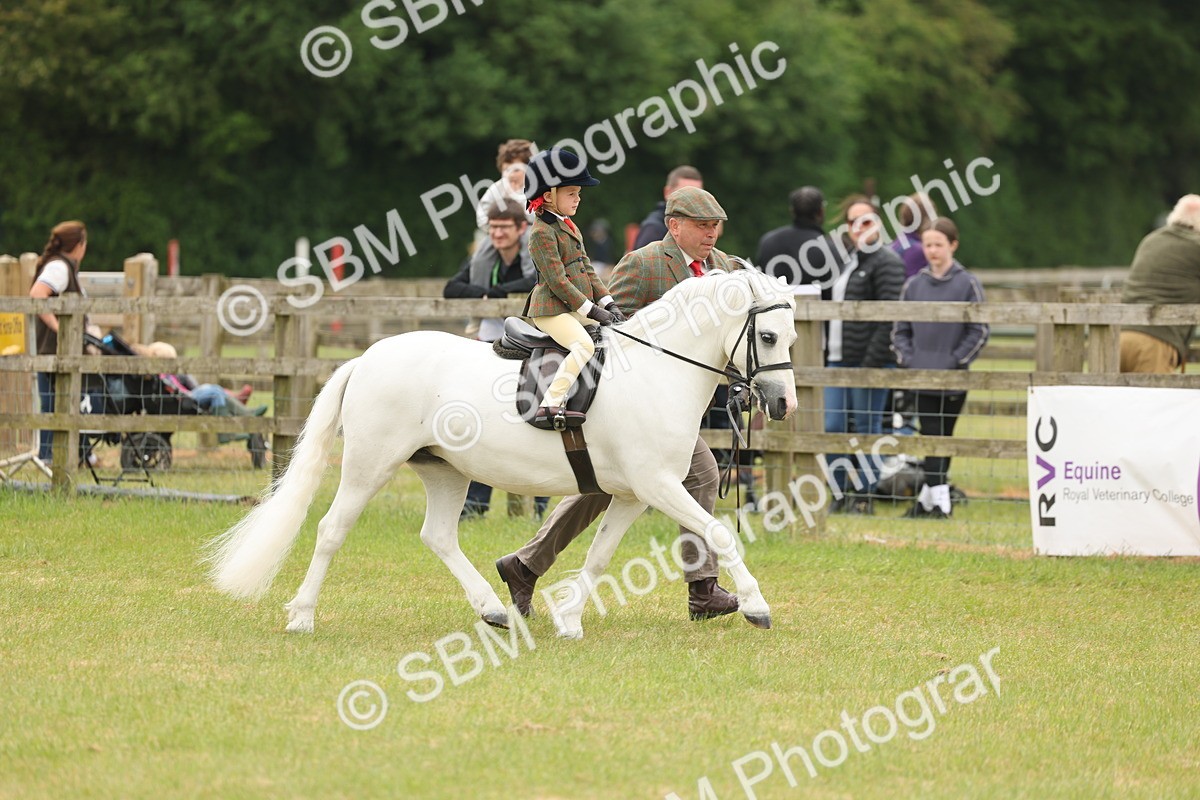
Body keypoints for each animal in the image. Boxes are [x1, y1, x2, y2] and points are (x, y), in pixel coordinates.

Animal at [205, 268, 798, 639]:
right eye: (767, 336)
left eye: (791, 337)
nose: (784, 404)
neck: (657, 370)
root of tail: (367, 358)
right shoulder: (657, 485)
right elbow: (719, 533)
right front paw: (756, 606)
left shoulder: (634, 494)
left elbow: (600, 555)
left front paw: (569, 621)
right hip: (369, 467)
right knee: (332, 530)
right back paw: (302, 617)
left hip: (445, 471)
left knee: (438, 536)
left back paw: (494, 609)